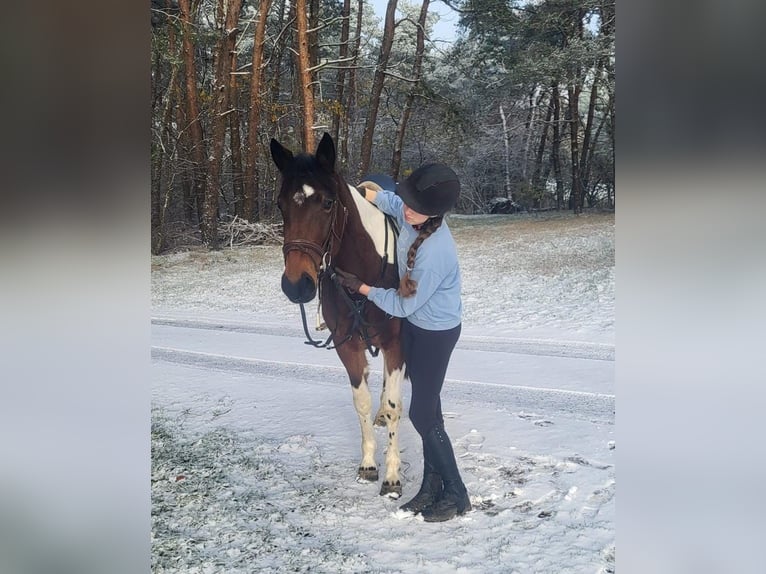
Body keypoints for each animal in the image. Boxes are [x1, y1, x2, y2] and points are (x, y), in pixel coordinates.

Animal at [272, 132, 408, 500]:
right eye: (281, 205)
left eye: (328, 203)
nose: (296, 285)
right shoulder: (349, 347)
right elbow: (361, 401)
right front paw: (369, 464)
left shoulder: (395, 343)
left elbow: (394, 403)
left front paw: (393, 476)